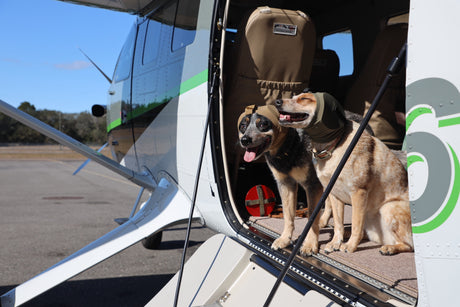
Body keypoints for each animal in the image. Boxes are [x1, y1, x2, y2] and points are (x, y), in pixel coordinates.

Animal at [274, 92, 412, 255]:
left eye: (305, 98)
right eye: (295, 96)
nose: (277, 101)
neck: (332, 147)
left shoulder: (358, 192)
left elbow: (356, 224)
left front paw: (350, 246)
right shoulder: (334, 193)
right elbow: (339, 223)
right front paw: (335, 242)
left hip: (389, 208)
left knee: (408, 244)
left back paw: (389, 248)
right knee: (365, 232)